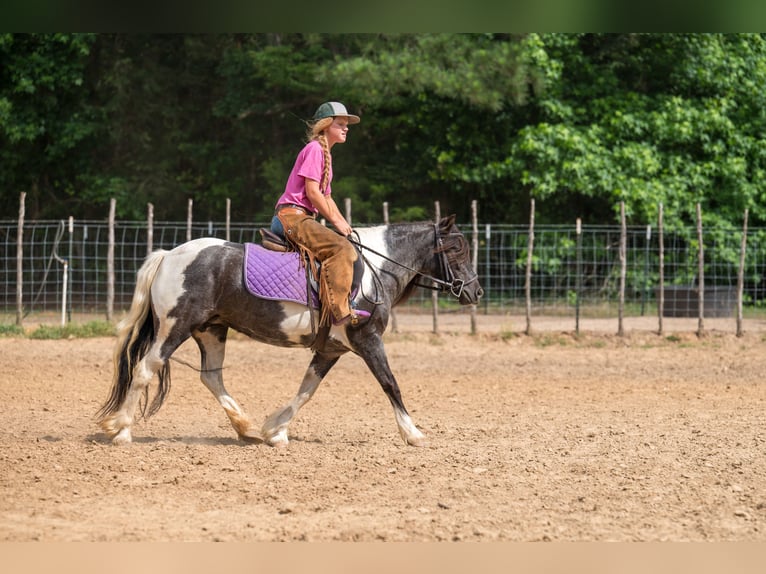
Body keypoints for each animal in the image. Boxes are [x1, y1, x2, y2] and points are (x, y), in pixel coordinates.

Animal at [96, 215, 483, 447]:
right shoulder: (367, 339)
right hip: (175, 328)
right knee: (146, 369)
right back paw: (121, 430)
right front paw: (413, 433)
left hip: (210, 330)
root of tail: (169, 255)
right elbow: (390, 383)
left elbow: (306, 390)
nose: (476, 292)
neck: (376, 269)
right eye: (458, 249)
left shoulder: (330, 348)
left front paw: (275, 430)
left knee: (211, 377)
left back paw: (245, 427)